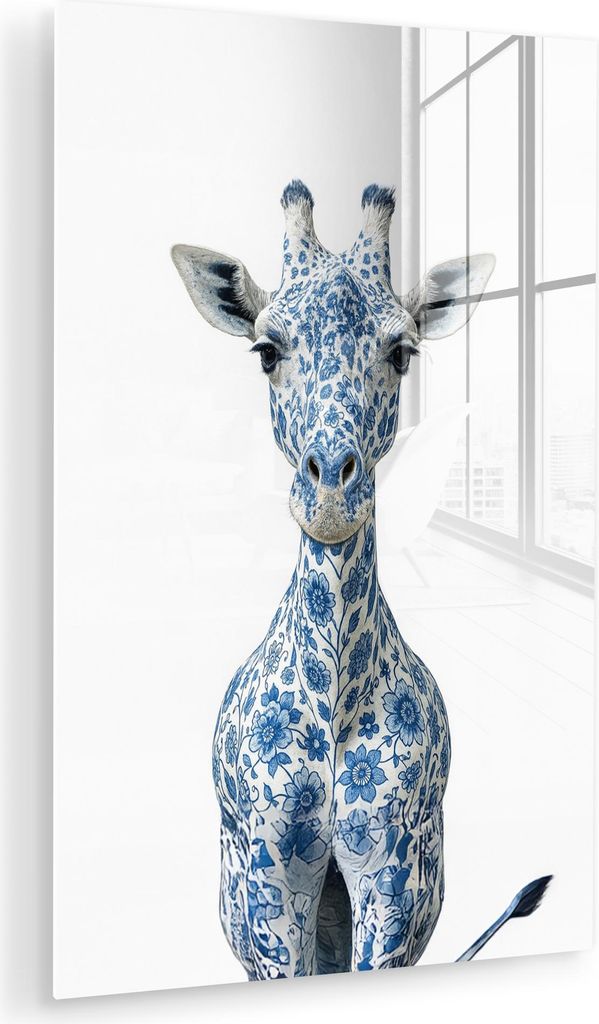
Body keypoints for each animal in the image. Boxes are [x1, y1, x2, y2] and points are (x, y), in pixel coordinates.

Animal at [171, 181, 550, 980]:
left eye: (401, 352)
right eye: (266, 351)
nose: (330, 499)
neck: (333, 707)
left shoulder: (390, 874)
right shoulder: (272, 874)